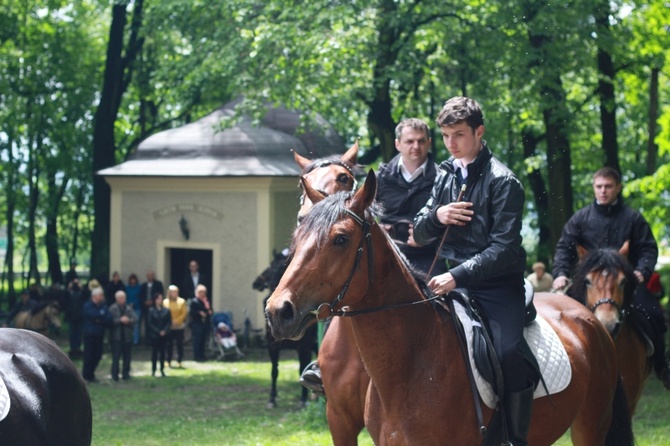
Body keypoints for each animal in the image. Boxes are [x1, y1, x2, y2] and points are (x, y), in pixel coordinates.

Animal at [253, 249, 318, 410]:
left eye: (273, 267)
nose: (256, 282)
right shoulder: (272, 348)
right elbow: (274, 372)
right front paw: (272, 398)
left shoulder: (303, 349)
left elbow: (302, 369)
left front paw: (303, 399)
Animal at [266, 171, 636, 446]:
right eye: (297, 236)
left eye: (341, 239)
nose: (278, 311)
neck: (410, 365)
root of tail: (592, 321)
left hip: (590, 426)